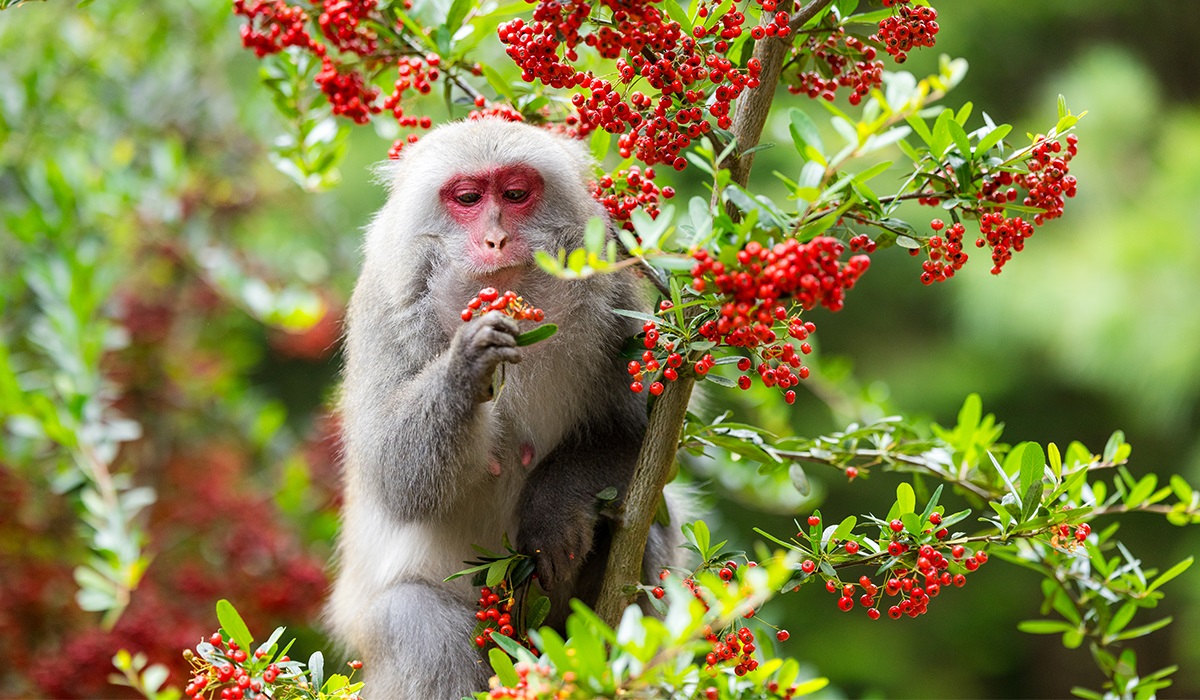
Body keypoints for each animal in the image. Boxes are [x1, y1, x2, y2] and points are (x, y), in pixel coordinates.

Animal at [328, 117, 686, 696]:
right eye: (468, 198)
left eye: (516, 194)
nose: (495, 239)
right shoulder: (385, 307)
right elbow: (395, 478)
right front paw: (466, 364)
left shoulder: (615, 297)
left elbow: (645, 444)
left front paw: (552, 508)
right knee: (416, 620)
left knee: (642, 527)